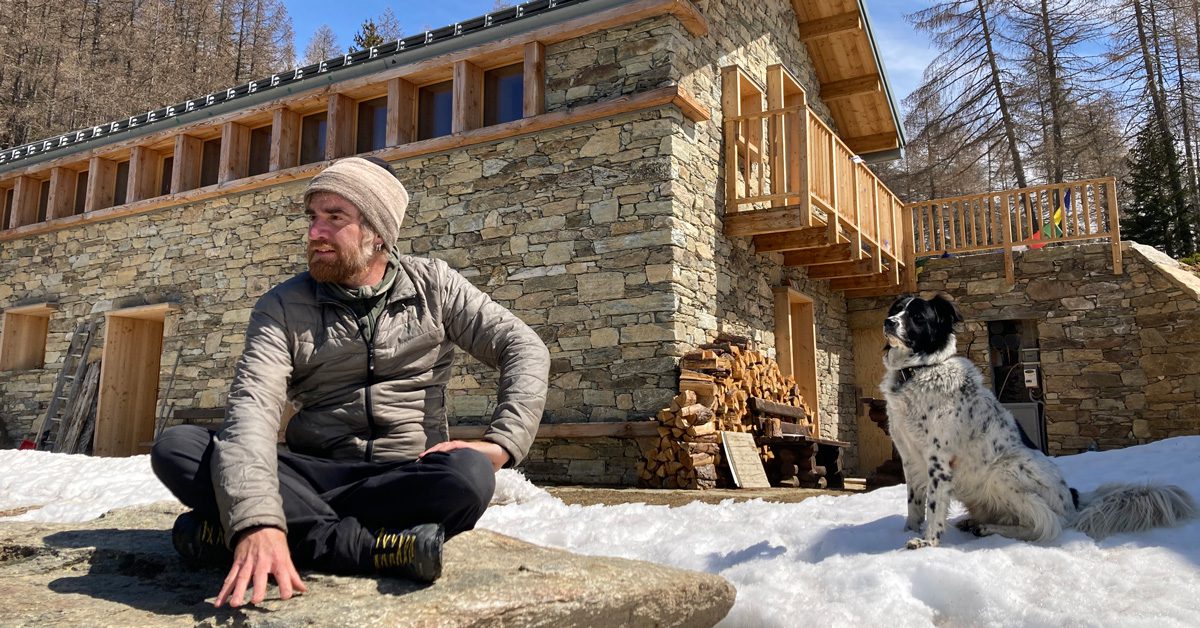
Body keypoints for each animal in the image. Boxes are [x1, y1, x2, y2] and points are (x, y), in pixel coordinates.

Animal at [878, 295, 1195, 549]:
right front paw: (906, 531)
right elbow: (914, 503)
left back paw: (988, 528)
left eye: (918, 317)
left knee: (1047, 524)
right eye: (896, 308)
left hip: (1003, 470)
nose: (888, 322)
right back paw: (976, 522)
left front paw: (927, 541)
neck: (918, 371)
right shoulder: (910, 457)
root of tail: (1073, 499)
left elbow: (934, 506)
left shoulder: (939, 460)